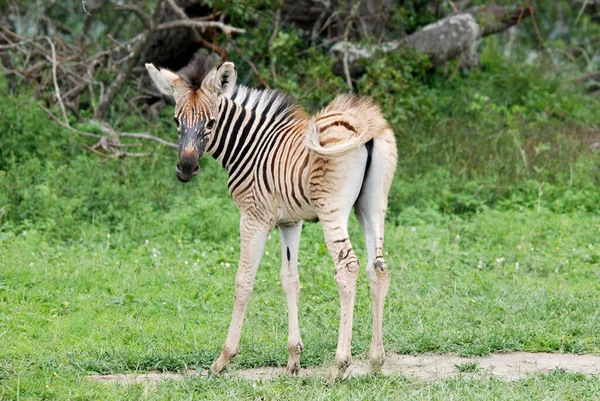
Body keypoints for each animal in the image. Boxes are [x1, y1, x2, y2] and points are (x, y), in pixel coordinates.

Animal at [146, 55, 398, 378]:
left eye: (211, 122)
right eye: (177, 121)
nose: (186, 168)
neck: (249, 148)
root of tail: (366, 122)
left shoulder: (254, 218)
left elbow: (243, 281)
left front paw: (223, 359)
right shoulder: (289, 221)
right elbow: (290, 279)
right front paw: (293, 360)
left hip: (333, 209)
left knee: (348, 267)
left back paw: (340, 366)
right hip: (372, 205)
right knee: (377, 268)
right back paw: (376, 361)